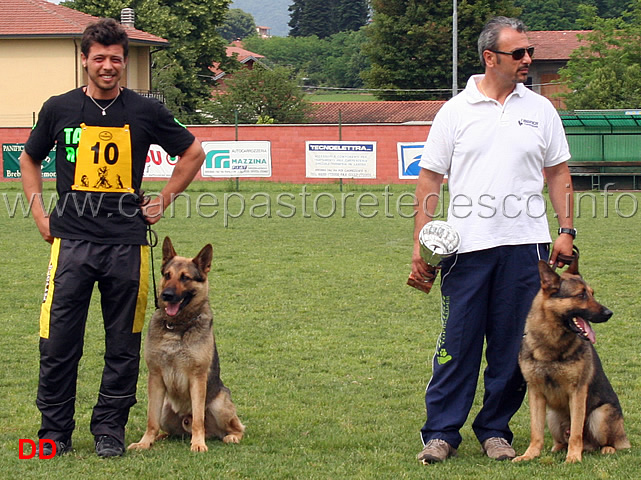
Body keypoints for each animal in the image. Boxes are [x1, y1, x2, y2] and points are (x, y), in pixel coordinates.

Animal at [128, 238, 245, 452]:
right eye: (167, 275)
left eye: (185, 278)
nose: (166, 295)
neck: (176, 326)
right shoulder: (155, 377)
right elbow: (151, 420)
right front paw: (144, 442)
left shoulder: (197, 378)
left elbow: (198, 418)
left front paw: (198, 444)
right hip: (165, 409)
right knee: (170, 430)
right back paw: (160, 438)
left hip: (219, 404)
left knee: (236, 427)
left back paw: (230, 436)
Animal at [512, 256, 628, 464]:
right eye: (581, 295)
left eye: (592, 294)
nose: (609, 313)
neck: (552, 343)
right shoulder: (535, 393)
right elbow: (536, 431)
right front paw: (529, 454)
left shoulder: (578, 392)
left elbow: (576, 432)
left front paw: (573, 457)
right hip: (552, 416)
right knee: (562, 439)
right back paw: (557, 448)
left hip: (600, 415)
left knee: (607, 442)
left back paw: (606, 449)